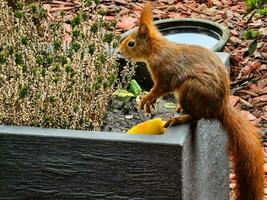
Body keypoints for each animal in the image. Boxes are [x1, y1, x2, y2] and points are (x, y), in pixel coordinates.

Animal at [118, 1, 264, 200]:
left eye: (131, 43)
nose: (118, 51)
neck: (156, 49)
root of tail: (219, 109)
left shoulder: (164, 74)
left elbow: (160, 88)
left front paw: (147, 99)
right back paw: (179, 109)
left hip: (190, 89)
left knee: (196, 117)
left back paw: (179, 118)